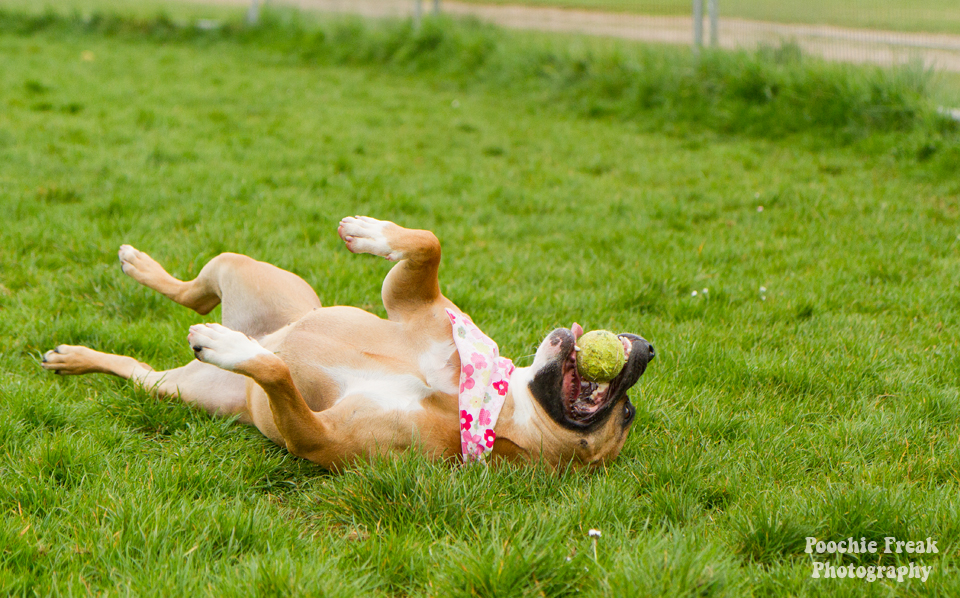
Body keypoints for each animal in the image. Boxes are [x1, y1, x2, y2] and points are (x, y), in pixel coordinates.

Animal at [41, 218, 656, 472]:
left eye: (623, 414)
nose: (648, 349)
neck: (481, 398)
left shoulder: (320, 437)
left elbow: (278, 375)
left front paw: (234, 351)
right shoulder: (415, 305)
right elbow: (427, 246)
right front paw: (370, 232)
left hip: (174, 389)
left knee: (156, 349)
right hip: (247, 273)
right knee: (193, 291)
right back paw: (134, 272)